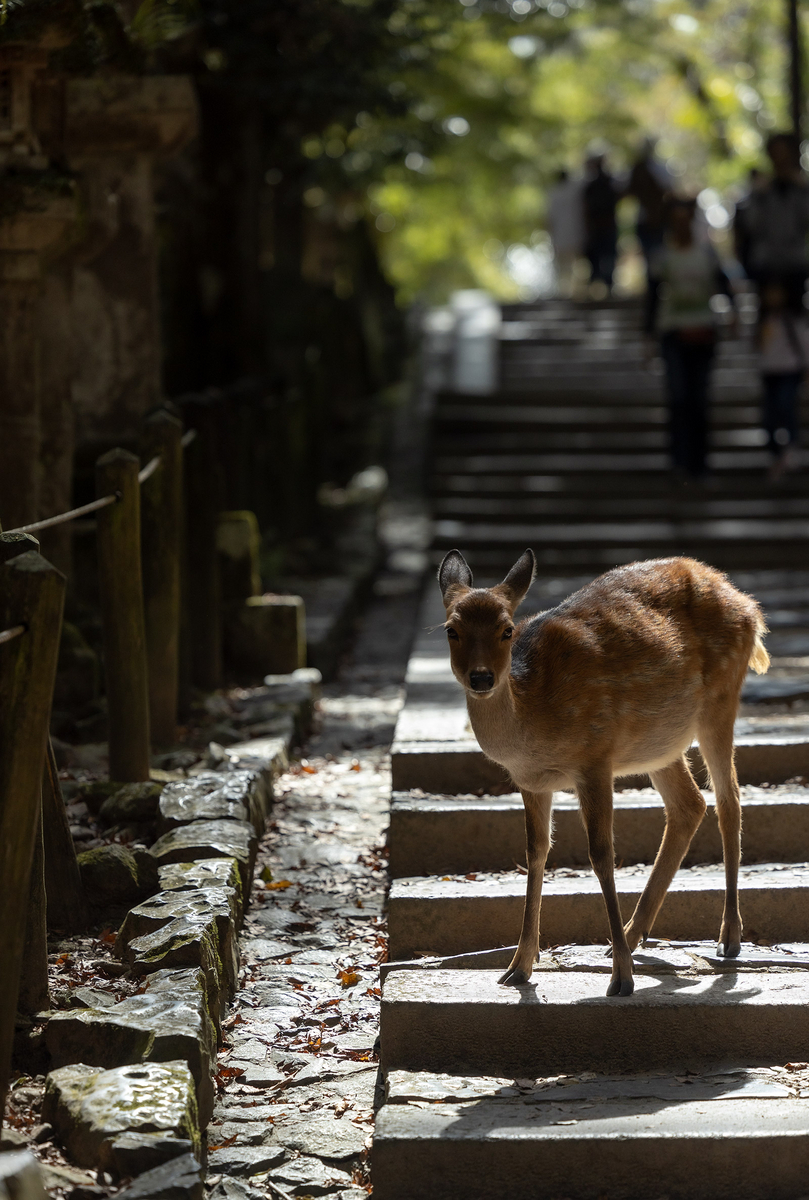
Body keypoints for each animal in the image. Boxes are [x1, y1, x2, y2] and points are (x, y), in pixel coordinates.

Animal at [436, 549, 763, 998]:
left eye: (507, 630)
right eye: (452, 630)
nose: (482, 677)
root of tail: (748, 604)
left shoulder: (594, 760)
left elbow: (602, 854)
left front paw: (622, 979)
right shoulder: (530, 782)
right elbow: (535, 853)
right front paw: (518, 967)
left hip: (721, 696)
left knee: (729, 799)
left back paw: (728, 936)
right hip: (660, 741)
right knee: (690, 805)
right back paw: (634, 932)